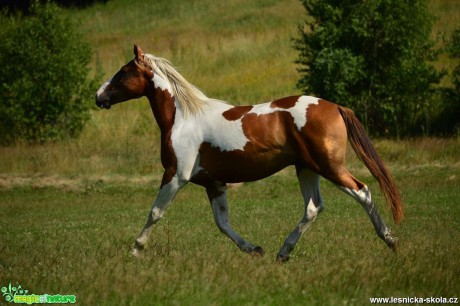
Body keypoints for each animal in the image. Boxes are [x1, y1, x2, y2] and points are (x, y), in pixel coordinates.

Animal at [96, 44, 402, 262]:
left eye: (123, 71)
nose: (99, 96)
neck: (182, 118)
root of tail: (335, 106)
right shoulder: (214, 182)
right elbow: (223, 223)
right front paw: (255, 249)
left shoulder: (175, 176)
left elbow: (156, 212)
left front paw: (135, 250)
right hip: (306, 168)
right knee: (313, 207)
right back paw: (283, 252)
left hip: (329, 166)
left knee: (363, 192)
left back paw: (390, 240)